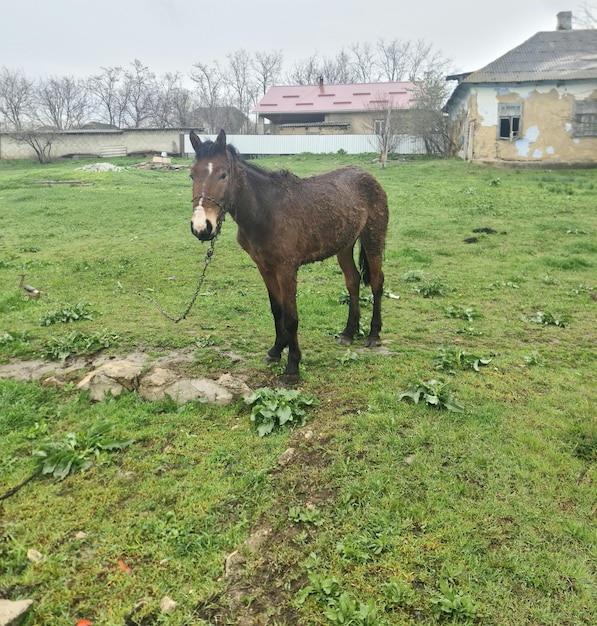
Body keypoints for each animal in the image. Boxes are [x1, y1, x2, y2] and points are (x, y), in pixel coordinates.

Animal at [189, 127, 388, 382]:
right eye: (192, 175)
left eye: (223, 175)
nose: (202, 227)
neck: (265, 211)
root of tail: (367, 176)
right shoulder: (264, 267)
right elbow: (277, 309)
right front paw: (276, 350)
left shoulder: (286, 268)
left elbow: (291, 316)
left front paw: (292, 366)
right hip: (344, 245)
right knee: (352, 281)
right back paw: (348, 332)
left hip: (373, 238)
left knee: (376, 282)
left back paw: (373, 334)